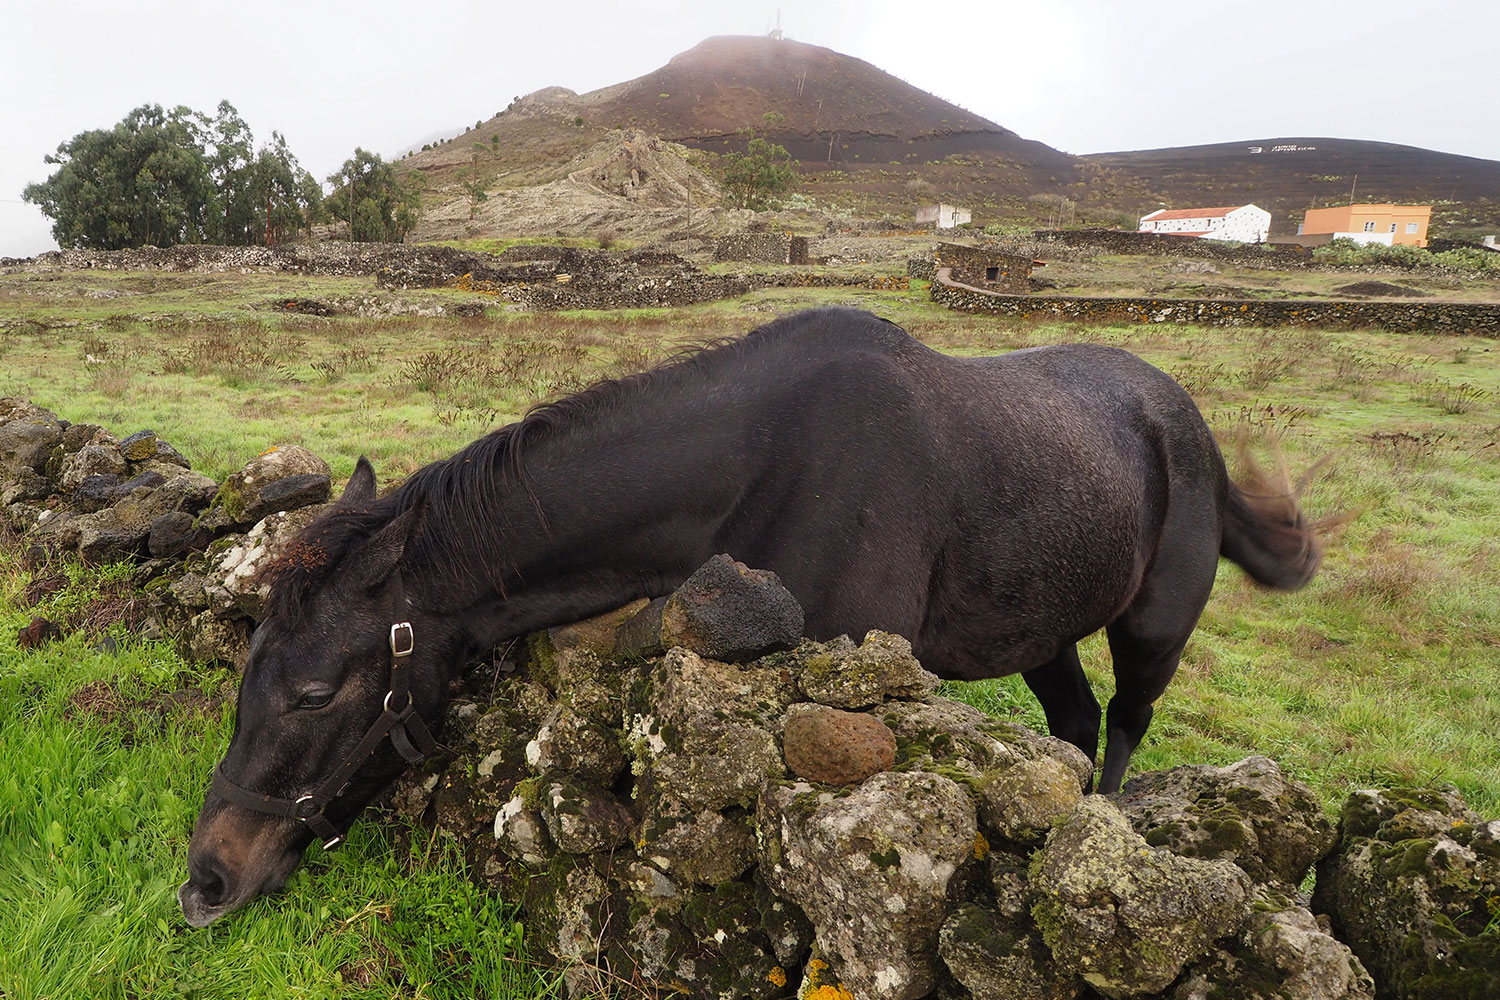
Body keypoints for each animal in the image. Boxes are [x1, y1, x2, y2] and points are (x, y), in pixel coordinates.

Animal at [179, 306, 1322, 926]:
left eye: (315, 691)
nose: (205, 881)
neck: (765, 460)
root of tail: (1187, 422)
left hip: (1151, 633)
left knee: (1122, 728)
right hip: (1042, 632)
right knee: (1077, 726)